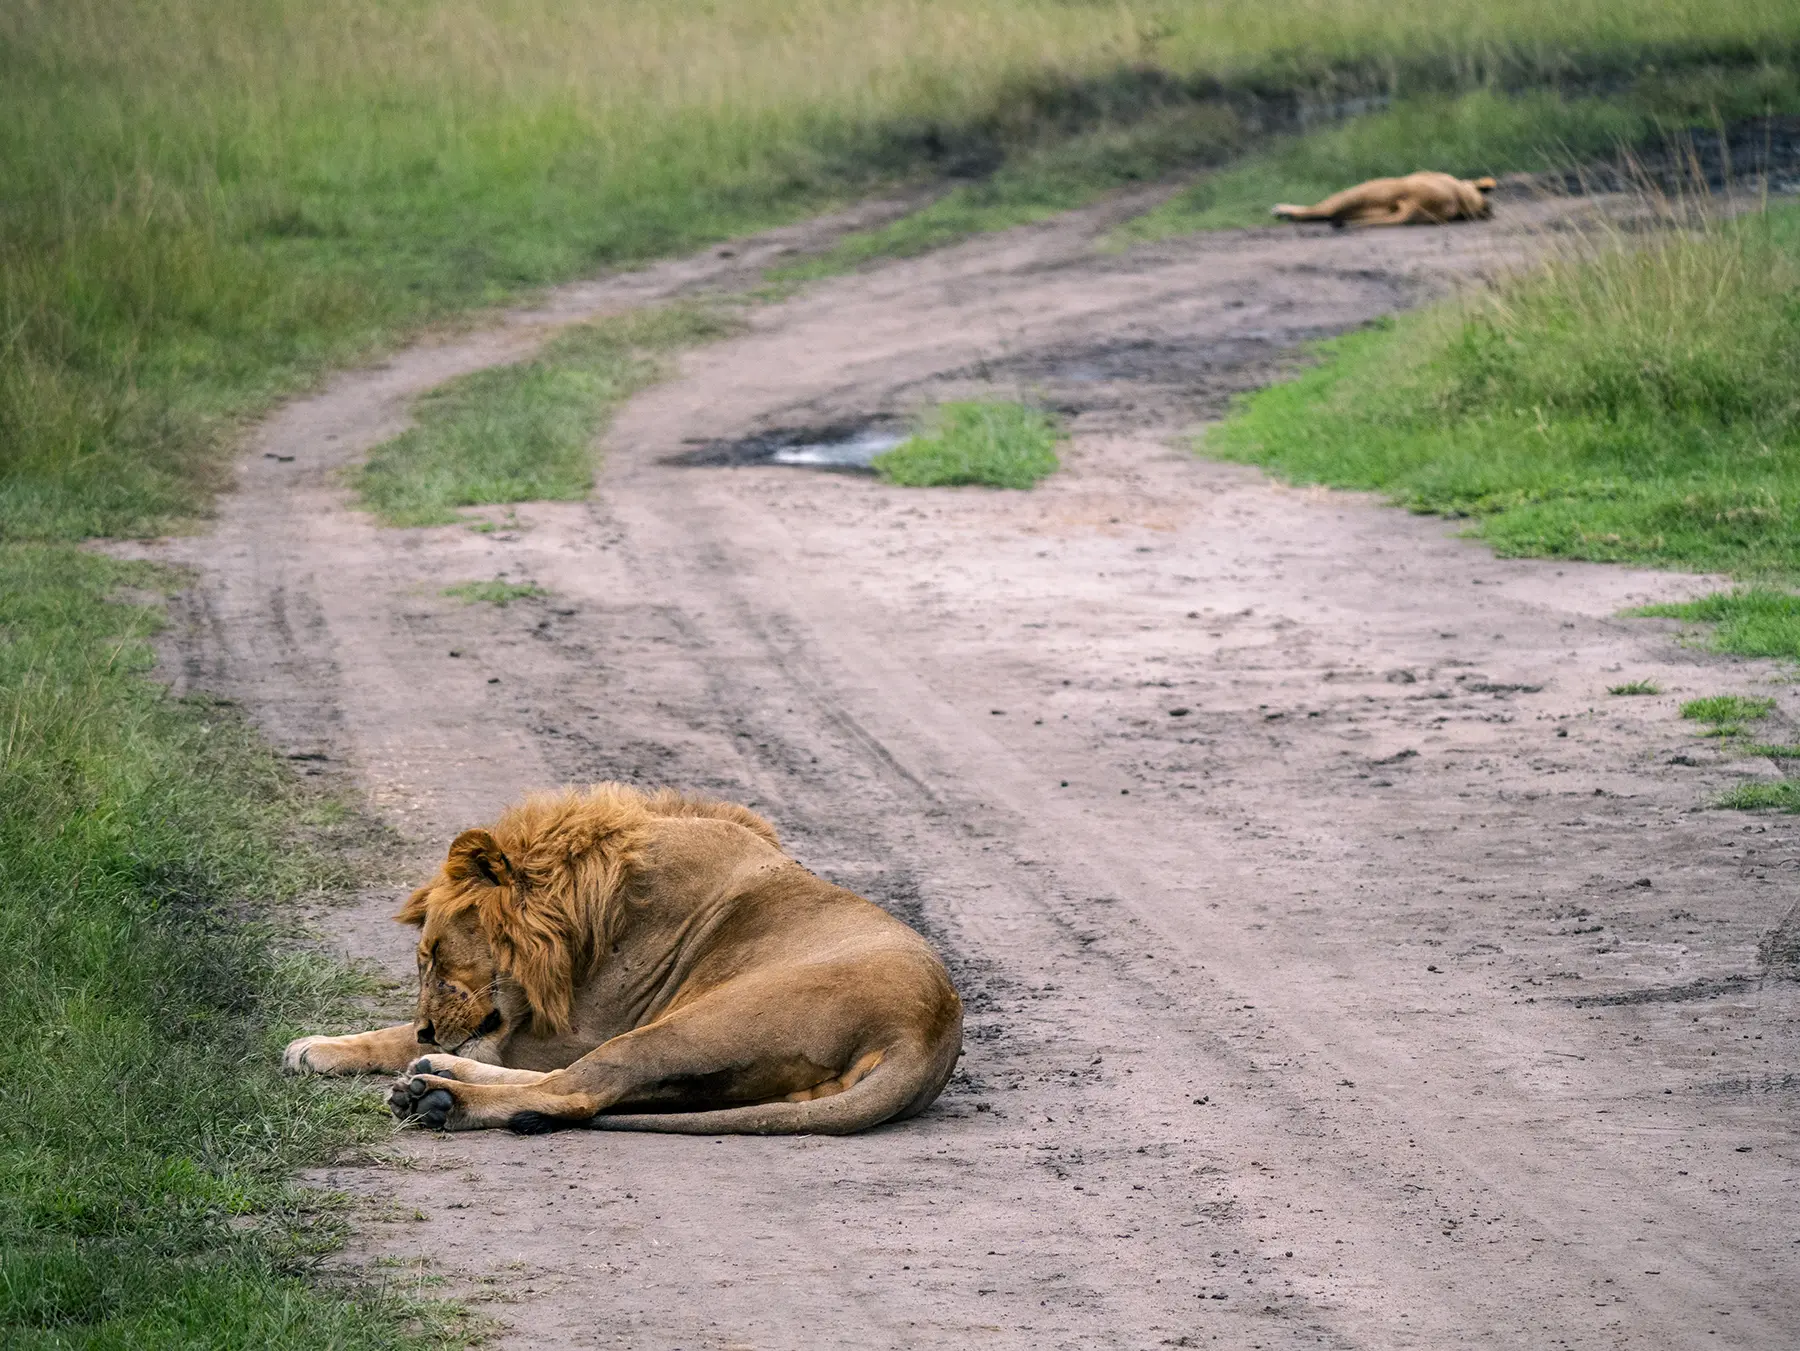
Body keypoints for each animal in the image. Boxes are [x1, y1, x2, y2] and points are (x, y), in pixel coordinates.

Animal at [282, 784, 963, 1135]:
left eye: (436, 955)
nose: (430, 1029)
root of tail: (927, 1033)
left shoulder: (578, 1027)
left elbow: (404, 1033)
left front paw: (319, 1046)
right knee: (579, 1086)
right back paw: (436, 1069)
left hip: (688, 1027)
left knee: (578, 1091)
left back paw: (436, 1094)